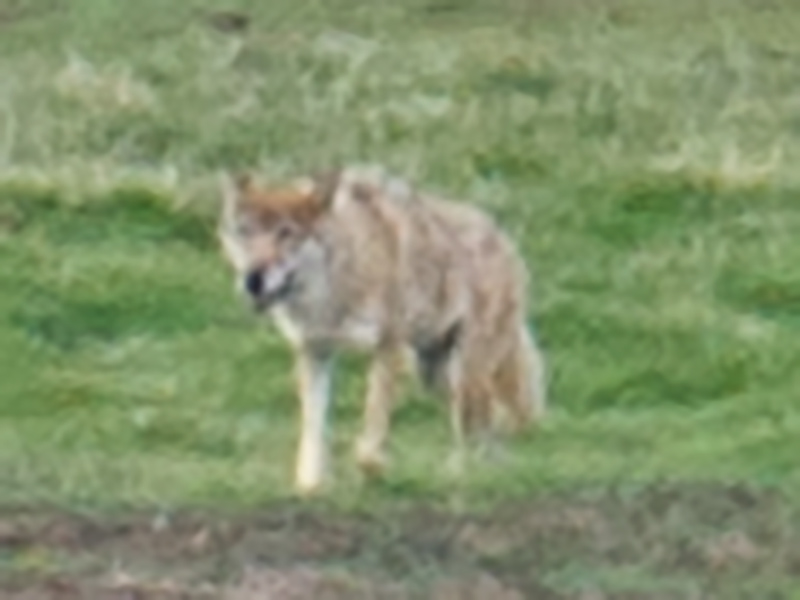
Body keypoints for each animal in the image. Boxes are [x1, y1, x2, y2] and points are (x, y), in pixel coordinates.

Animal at [217, 166, 544, 494]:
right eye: (245, 232)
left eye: (286, 233)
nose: (253, 278)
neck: (335, 289)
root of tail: (502, 236)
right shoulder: (314, 351)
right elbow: (313, 429)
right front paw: (310, 487)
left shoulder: (388, 346)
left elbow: (374, 418)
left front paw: (371, 466)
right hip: (434, 374)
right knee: (490, 422)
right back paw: (489, 473)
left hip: (466, 373)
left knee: (484, 419)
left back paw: (463, 476)